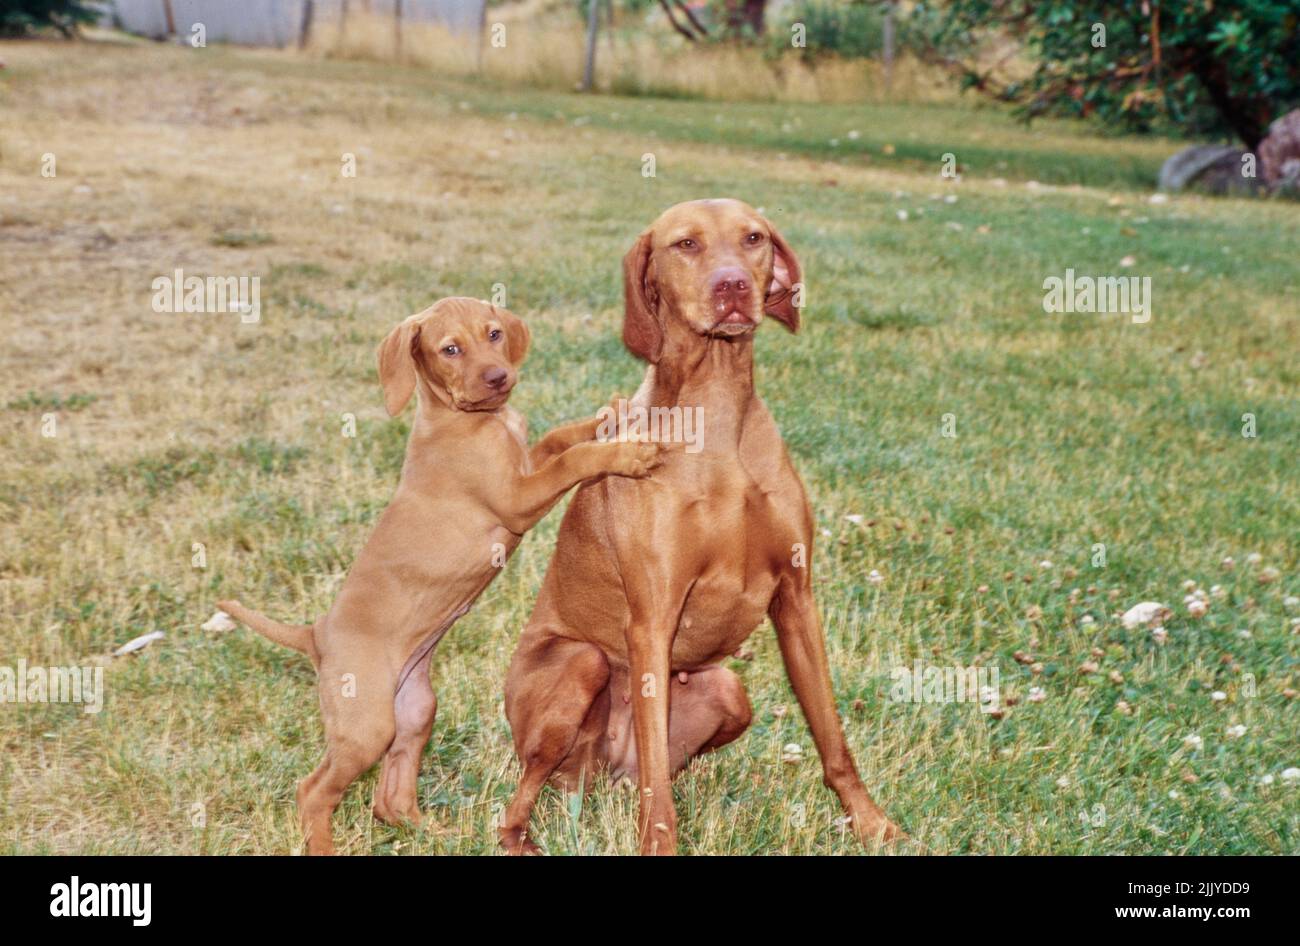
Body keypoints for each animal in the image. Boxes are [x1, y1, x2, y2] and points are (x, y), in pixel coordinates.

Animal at [219, 297, 660, 857]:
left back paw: (436, 832)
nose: (498, 378)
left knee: (388, 800)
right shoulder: (518, 498)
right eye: (450, 349)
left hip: (413, 713)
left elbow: (562, 437)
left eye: (494, 334)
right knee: (313, 791)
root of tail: (315, 634)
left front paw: (613, 413)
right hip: (365, 726)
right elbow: (572, 460)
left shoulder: (527, 463)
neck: (467, 419)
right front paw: (627, 452)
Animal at [496, 196, 904, 852]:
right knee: (525, 798)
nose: (733, 284)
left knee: (650, 767)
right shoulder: (652, 618)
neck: (715, 417)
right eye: (685, 244)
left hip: (724, 691)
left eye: (753, 238)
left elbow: (832, 736)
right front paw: (659, 844)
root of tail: (599, 774)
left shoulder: (797, 598)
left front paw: (870, 823)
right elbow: (658, 792)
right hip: (580, 667)